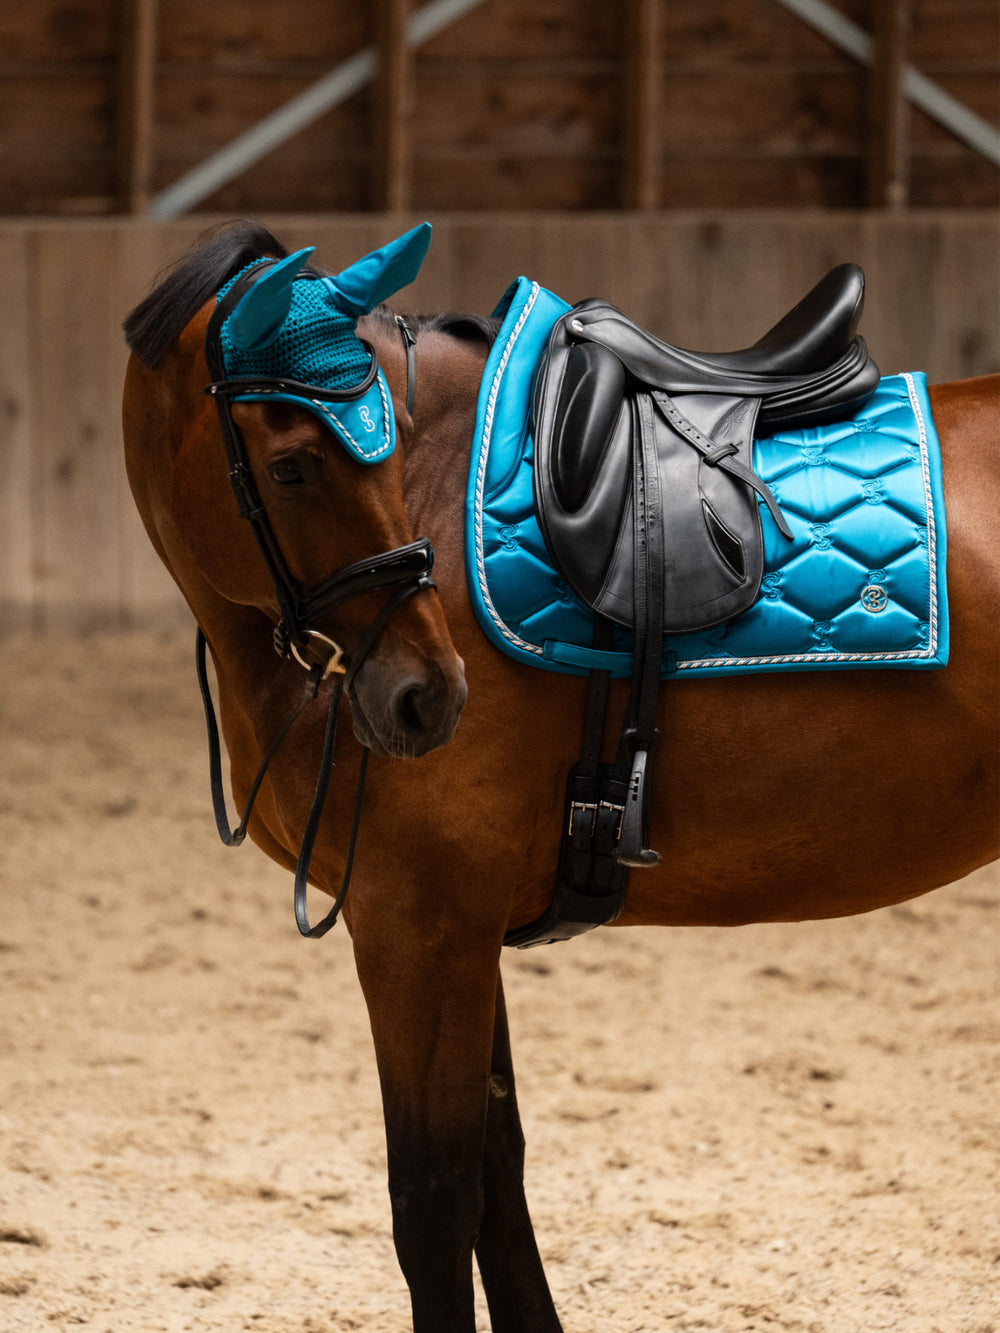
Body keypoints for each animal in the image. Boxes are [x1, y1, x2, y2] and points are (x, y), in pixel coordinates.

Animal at [121, 220, 998, 1333]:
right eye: (289, 467)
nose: (428, 696)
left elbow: (433, 1201)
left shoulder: (419, 927)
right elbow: (500, 1177)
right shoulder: (460, 924)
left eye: (372, 451)